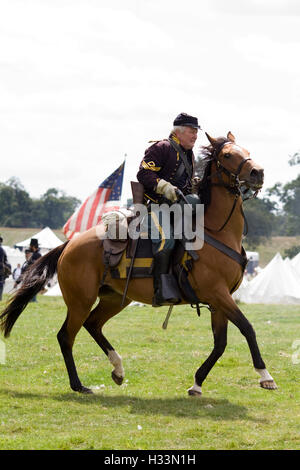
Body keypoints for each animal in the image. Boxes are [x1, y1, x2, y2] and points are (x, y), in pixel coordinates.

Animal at [0, 132, 276, 396]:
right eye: (228, 155)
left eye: (247, 150)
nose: (258, 172)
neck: (215, 231)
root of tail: (69, 245)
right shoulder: (218, 294)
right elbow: (248, 328)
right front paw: (265, 376)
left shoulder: (219, 301)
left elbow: (220, 343)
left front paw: (197, 384)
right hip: (80, 301)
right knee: (66, 336)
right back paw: (79, 385)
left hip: (113, 298)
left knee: (93, 325)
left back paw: (118, 369)